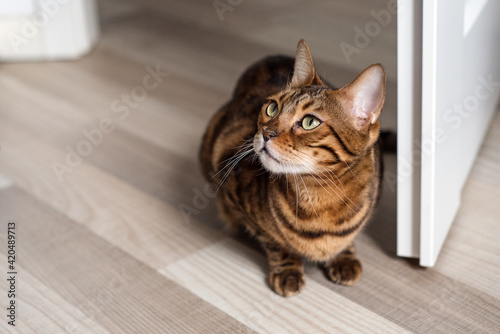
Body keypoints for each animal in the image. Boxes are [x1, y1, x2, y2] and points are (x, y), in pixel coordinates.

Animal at [199, 39, 386, 298]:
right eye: (271, 108)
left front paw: (343, 255)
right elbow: (274, 242)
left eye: (310, 122)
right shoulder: (230, 178)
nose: (266, 133)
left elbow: (349, 237)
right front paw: (288, 269)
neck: (322, 197)